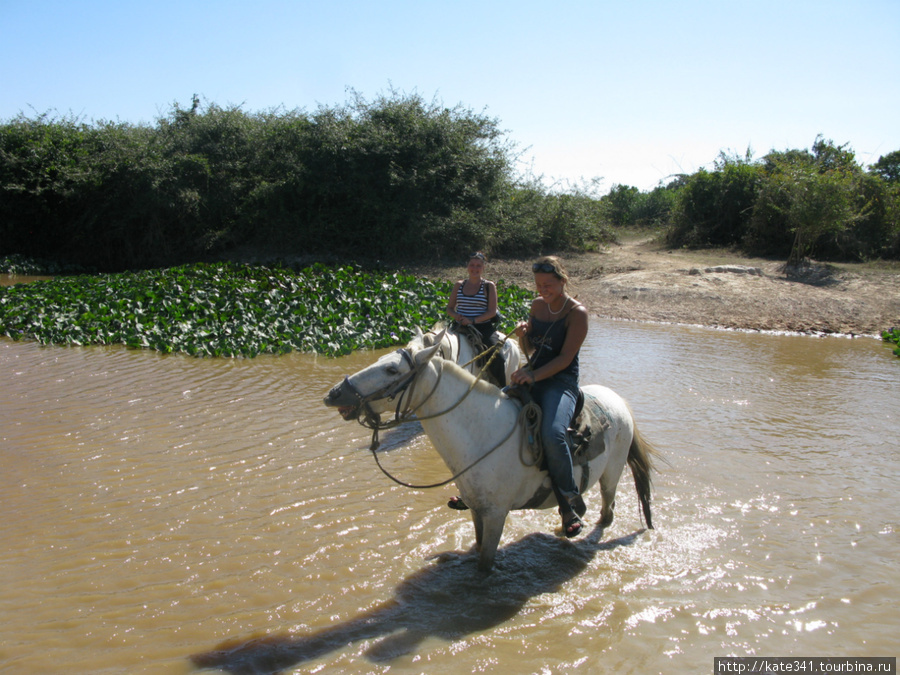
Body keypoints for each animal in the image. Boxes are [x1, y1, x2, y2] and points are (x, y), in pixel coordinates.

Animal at [324, 330, 652, 572]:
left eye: (391, 369)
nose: (334, 394)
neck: (482, 433)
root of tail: (619, 401)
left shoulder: (496, 514)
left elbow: (485, 565)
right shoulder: (477, 511)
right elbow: (479, 548)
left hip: (611, 475)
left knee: (607, 513)